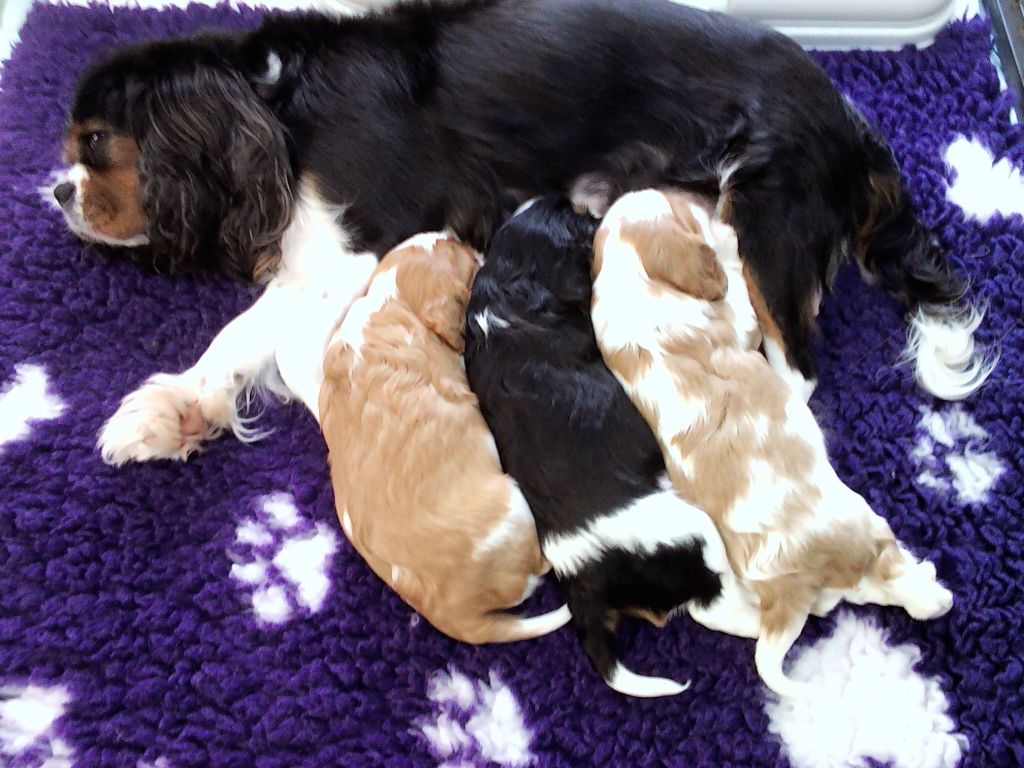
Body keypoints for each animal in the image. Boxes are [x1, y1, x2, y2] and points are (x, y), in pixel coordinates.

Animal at [59, 1, 987, 462]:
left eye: (96, 143)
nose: (59, 191)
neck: (275, 99)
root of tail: (852, 120)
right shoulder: (313, 253)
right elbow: (239, 338)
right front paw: (175, 413)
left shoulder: (361, 236)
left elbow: (281, 340)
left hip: (770, 213)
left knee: (797, 367)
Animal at [315, 231, 573, 647]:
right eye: (464, 258)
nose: (461, 237)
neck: (393, 302)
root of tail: (459, 618)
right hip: (513, 503)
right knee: (538, 567)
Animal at [464, 198, 761, 696]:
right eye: (581, 220)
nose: (597, 212)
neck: (506, 297)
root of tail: (584, 582)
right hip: (693, 531)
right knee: (714, 605)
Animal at [589, 191, 954, 696]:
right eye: (680, 207)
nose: (705, 202)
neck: (630, 280)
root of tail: (785, 597)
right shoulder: (738, 321)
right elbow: (738, 296)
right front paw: (727, 245)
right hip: (858, 522)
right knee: (886, 570)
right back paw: (932, 593)